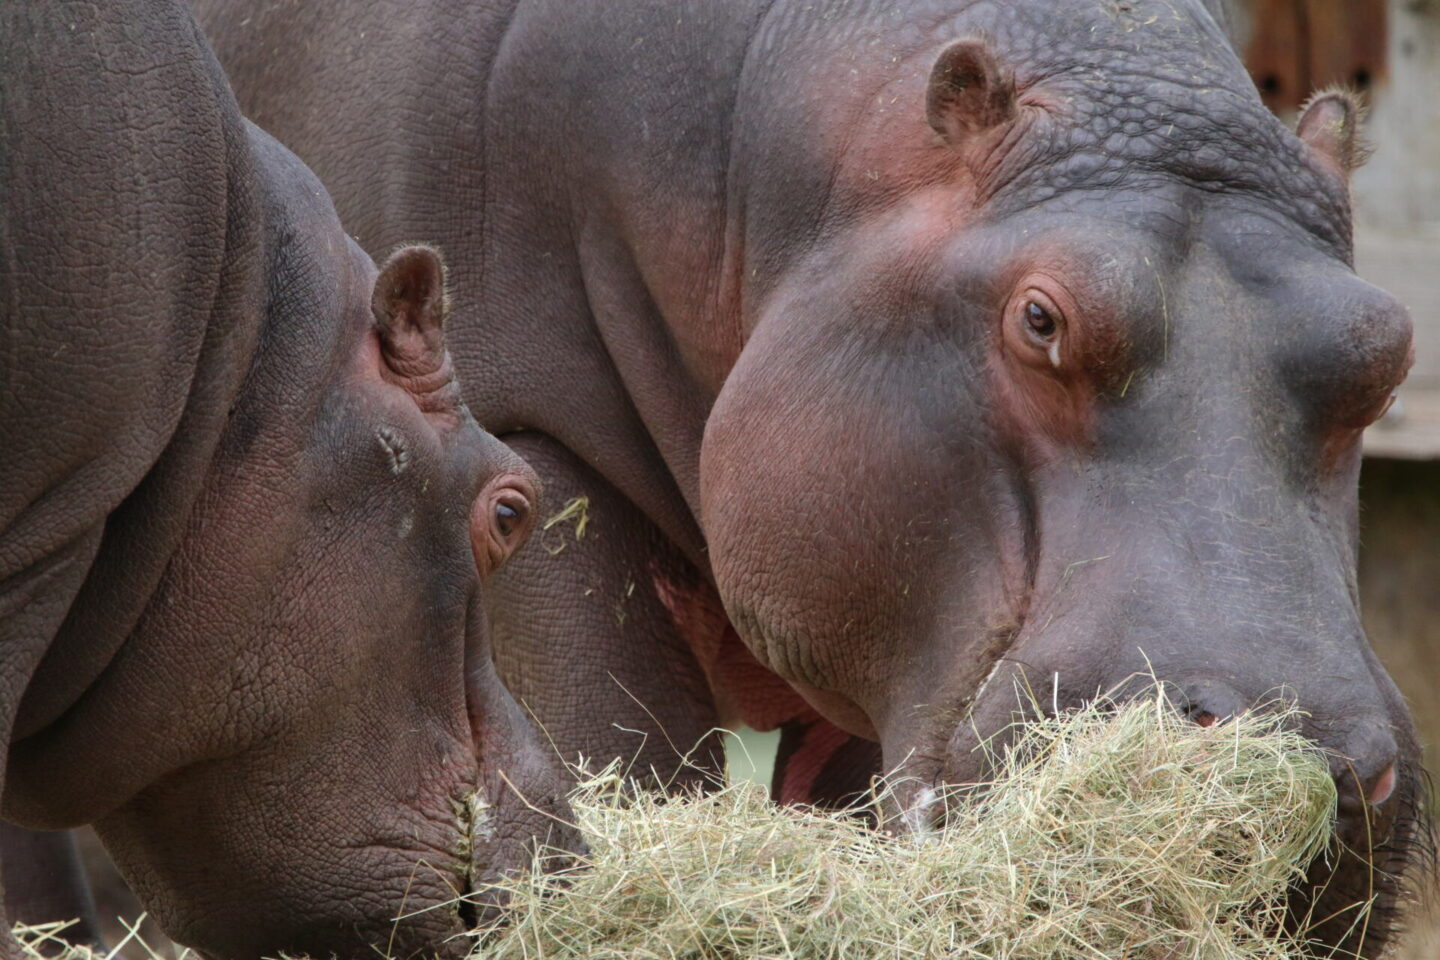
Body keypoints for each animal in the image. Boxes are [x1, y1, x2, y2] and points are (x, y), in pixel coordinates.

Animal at [195, 0, 1429, 953]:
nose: (1306, 763)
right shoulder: (530, 446)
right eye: (1041, 318)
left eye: (1388, 348)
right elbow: (624, 749)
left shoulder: (877, 629)